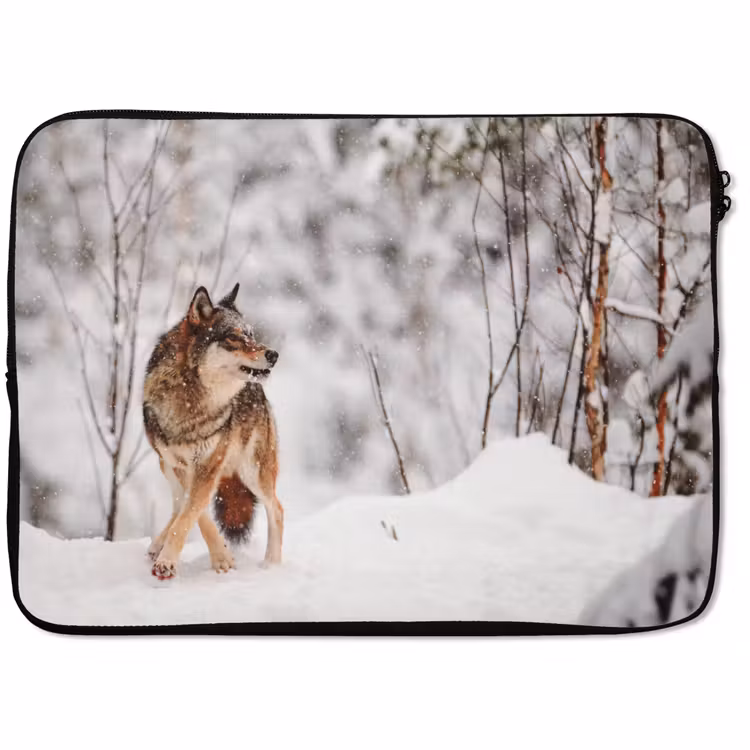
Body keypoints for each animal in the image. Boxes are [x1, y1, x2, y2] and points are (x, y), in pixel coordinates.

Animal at [142, 283, 283, 579]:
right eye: (232, 337)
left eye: (251, 334)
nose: (274, 355)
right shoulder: (182, 466)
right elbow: (194, 513)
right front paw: (221, 557)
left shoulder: (208, 465)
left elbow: (191, 513)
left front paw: (170, 561)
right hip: (166, 466)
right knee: (177, 504)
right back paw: (157, 544)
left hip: (253, 472)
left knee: (277, 508)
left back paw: (272, 565)